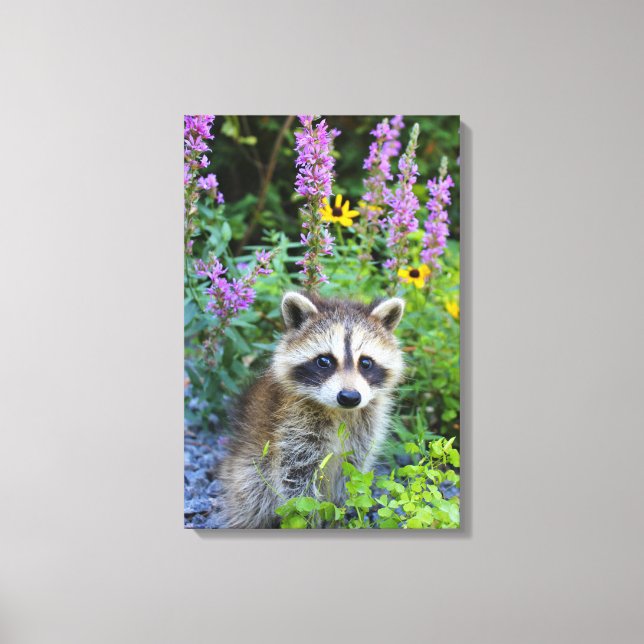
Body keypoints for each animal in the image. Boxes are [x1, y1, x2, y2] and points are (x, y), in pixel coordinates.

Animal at [217, 291, 405, 528]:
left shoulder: (364, 428)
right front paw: (309, 520)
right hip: (245, 471)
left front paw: (341, 513)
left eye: (366, 363)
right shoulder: (293, 426)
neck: (339, 411)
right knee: (253, 494)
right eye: (324, 361)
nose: (349, 397)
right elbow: (297, 480)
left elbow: (351, 472)